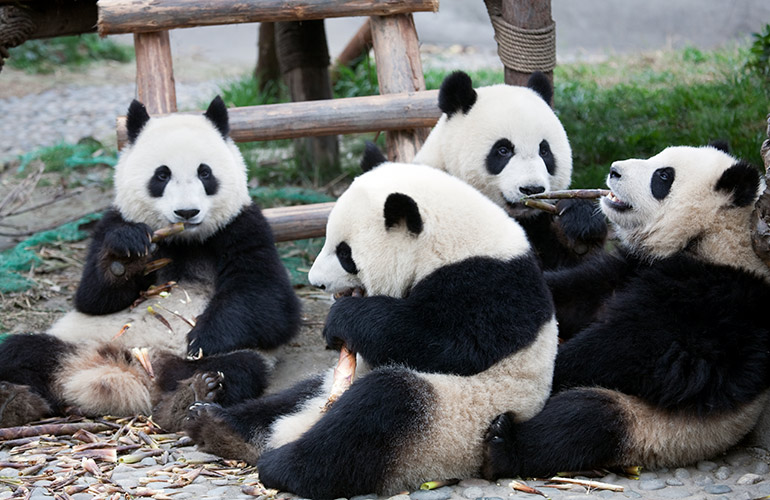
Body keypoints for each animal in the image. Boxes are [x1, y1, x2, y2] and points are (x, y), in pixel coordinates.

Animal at [0, 97, 301, 430]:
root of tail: (124, 372)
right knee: (18, 350)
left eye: (205, 173)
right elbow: (92, 298)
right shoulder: (111, 222)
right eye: (162, 175)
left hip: (207, 361)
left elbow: (270, 304)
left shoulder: (243, 227)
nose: (186, 212)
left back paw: (190, 396)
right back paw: (13, 401)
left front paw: (202, 338)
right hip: (75, 339)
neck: (184, 240)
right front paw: (123, 259)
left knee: (237, 368)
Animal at [182, 149, 558, 498]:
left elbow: (450, 344)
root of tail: (299, 426)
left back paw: (280, 464)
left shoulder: (490, 285)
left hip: (453, 425)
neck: (454, 240)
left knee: (377, 410)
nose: (316, 283)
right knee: (287, 399)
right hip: (329, 387)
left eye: (345, 253)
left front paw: (342, 319)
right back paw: (212, 419)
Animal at [482, 144, 770, 479]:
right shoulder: (632, 267)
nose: (614, 170)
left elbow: (646, 353)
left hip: (658, 430)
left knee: (584, 420)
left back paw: (502, 446)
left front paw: (553, 365)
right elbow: (579, 294)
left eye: (663, 177)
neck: (713, 235)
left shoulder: (721, 301)